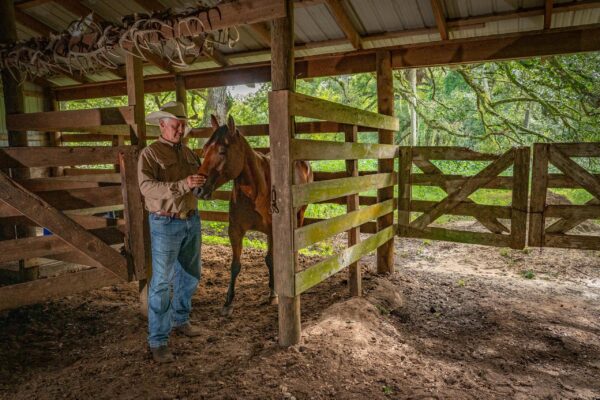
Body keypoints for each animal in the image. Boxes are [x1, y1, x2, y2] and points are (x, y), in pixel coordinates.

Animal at [198, 115, 314, 316]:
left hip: (299, 214)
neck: (255, 190)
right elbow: (236, 265)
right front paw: (228, 302)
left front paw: (274, 293)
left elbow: (271, 259)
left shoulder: (274, 231)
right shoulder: (235, 231)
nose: (198, 188)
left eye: (222, 151)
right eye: (205, 149)